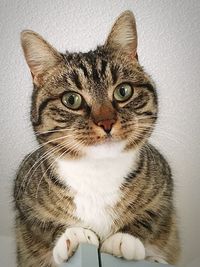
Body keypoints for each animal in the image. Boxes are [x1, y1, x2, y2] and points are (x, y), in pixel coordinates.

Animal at [13, 10, 180, 267]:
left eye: (123, 91)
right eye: (71, 100)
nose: (106, 122)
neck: (99, 174)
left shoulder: (163, 189)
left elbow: (150, 215)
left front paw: (124, 239)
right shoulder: (25, 200)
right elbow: (44, 224)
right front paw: (74, 233)